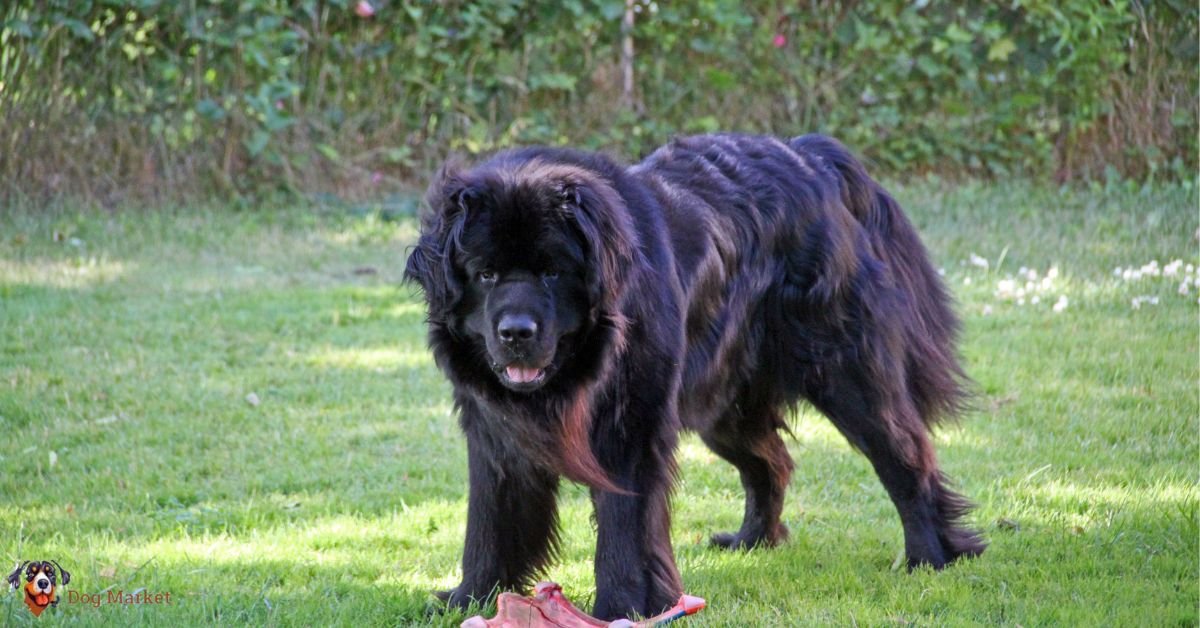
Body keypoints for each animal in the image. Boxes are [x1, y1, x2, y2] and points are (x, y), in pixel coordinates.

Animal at [403, 132, 984, 619]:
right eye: (485, 274)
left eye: (552, 271)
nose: (516, 331)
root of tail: (811, 156)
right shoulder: (495, 434)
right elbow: (489, 522)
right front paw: (470, 599)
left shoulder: (629, 431)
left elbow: (624, 529)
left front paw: (620, 608)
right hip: (725, 407)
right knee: (771, 462)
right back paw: (753, 540)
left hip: (847, 376)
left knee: (903, 455)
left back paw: (931, 556)